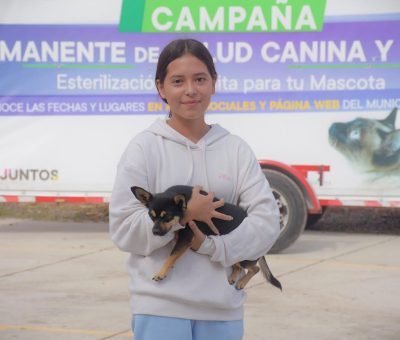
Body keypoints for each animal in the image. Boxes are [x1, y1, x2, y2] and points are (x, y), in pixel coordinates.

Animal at [131, 185, 282, 290]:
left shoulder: (186, 237)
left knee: (255, 268)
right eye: (151, 216)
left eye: (167, 216)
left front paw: (161, 272)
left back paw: (242, 282)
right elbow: (174, 255)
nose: (155, 232)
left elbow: (172, 255)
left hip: (244, 257)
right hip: (235, 256)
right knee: (238, 267)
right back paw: (234, 278)